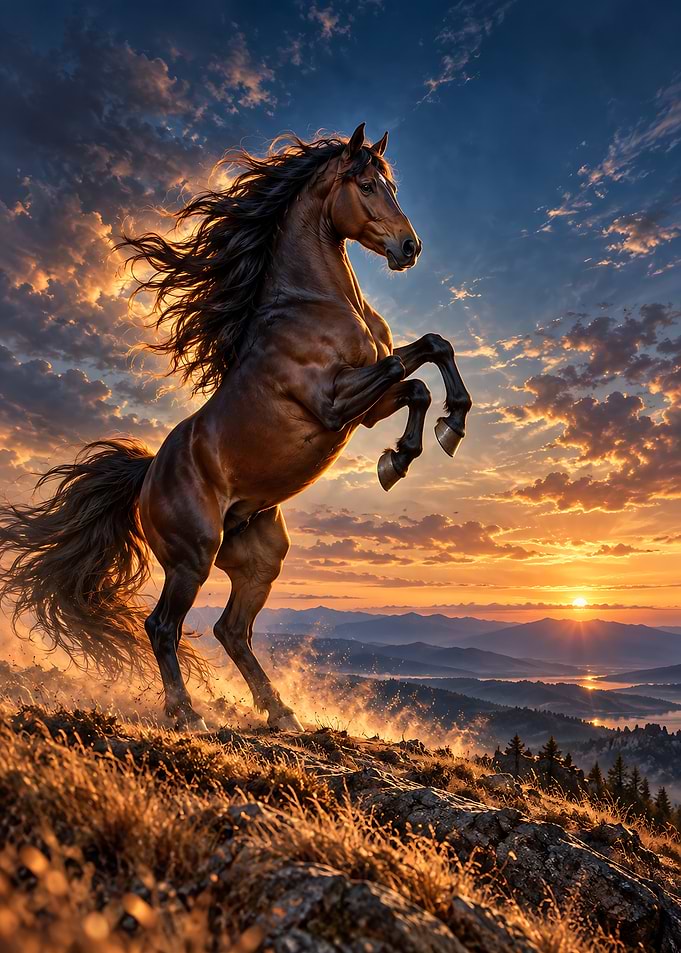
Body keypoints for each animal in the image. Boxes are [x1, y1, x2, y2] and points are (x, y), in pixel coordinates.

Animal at [0, 124, 471, 731]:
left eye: (391, 184)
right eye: (367, 184)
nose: (409, 248)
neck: (313, 303)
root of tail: (147, 476)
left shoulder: (365, 408)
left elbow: (432, 354)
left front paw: (439, 432)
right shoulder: (334, 402)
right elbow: (407, 372)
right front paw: (407, 453)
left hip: (259, 556)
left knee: (231, 629)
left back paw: (281, 713)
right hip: (192, 555)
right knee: (163, 626)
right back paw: (188, 714)